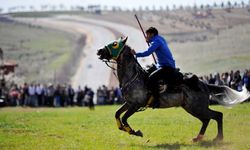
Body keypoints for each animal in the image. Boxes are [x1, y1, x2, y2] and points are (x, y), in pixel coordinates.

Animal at [96, 37, 249, 142]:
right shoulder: (129, 103)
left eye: (115, 44)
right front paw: (125, 129)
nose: (99, 51)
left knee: (217, 116)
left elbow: (124, 118)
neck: (133, 77)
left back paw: (218, 138)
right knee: (207, 119)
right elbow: (117, 114)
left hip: (197, 107)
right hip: (192, 108)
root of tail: (204, 85)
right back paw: (198, 138)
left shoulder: (136, 104)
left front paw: (136, 132)